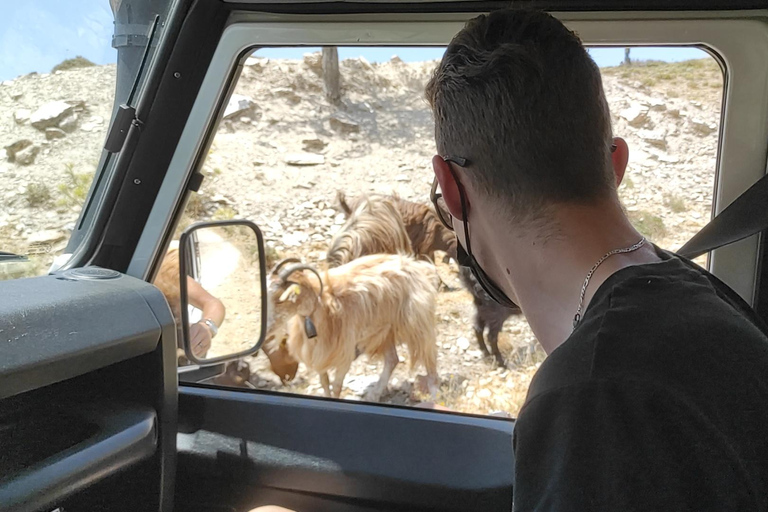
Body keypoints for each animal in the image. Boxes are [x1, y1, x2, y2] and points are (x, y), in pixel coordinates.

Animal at [268, 255, 440, 400]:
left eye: (280, 299)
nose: (268, 328)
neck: (324, 306)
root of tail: (417, 266)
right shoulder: (320, 356)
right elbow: (325, 383)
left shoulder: (344, 354)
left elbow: (337, 386)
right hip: (385, 331)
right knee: (392, 360)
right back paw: (374, 394)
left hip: (418, 325)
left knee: (429, 361)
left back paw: (433, 395)